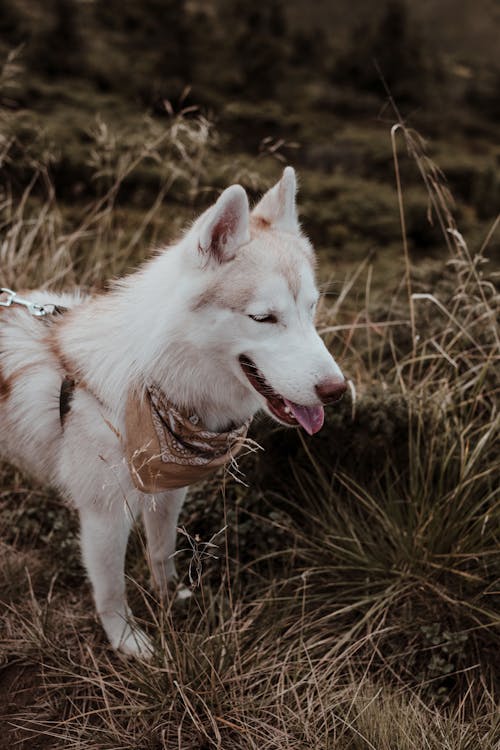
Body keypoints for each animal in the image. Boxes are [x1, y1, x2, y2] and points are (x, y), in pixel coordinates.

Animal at [0, 166, 346, 656]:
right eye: (264, 318)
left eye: (311, 308)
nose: (336, 391)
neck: (152, 376)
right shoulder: (105, 514)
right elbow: (111, 590)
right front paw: (127, 641)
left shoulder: (168, 491)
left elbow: (161, 553)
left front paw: (170, 600)